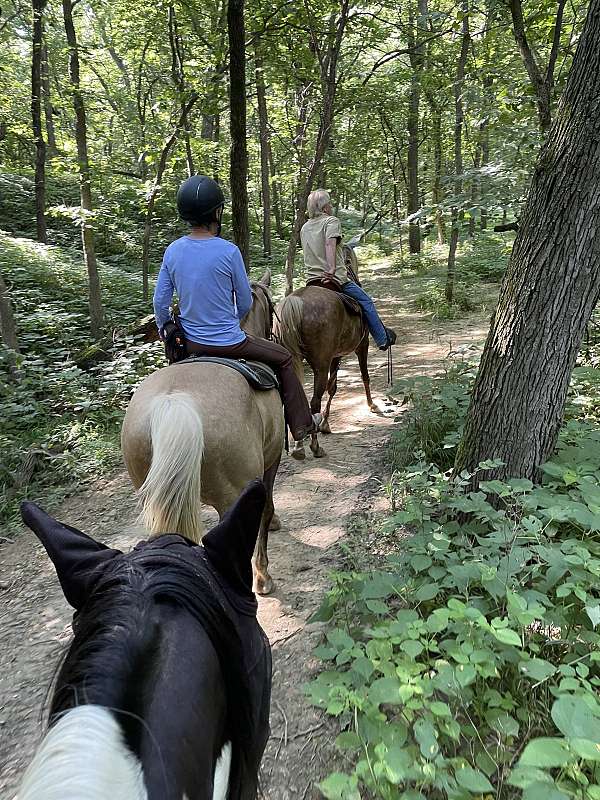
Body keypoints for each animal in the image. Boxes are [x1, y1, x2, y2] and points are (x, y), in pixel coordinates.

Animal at [122, 268, 284, 592]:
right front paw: (263, 575)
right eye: (272, 308)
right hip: (232, 495)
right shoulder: (271, 461)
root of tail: (173, 402)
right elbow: (266, 511)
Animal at [274, 250, 376, 462]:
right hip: (321, 364)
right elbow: (363, 377)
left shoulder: (336, 356)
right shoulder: (361, 346)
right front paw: (372, 405)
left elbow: (333, 386)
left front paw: (325, 424)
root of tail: (295, 301)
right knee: (314, 401)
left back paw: (299, 446)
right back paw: (315, 447)